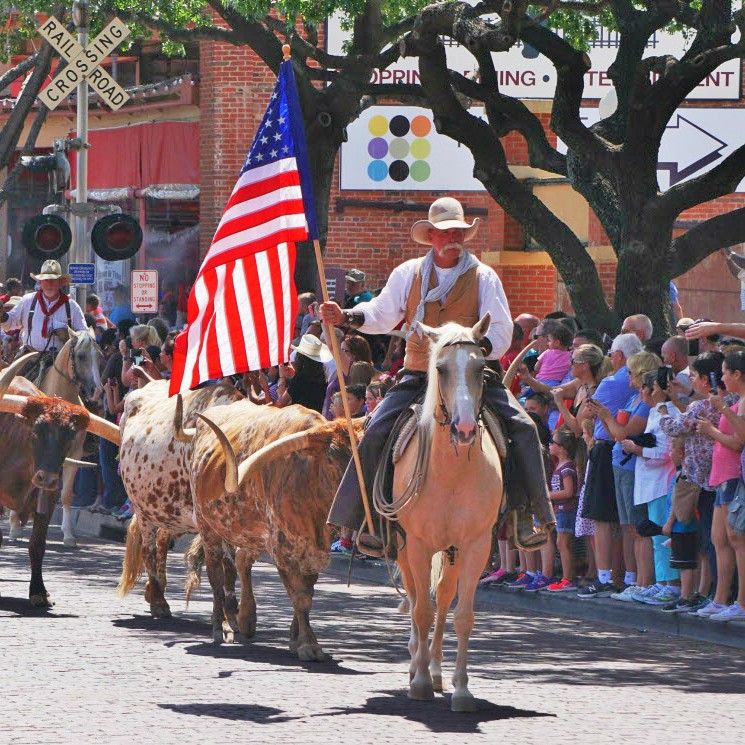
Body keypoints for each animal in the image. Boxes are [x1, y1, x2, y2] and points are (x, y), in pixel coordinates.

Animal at [5, 332, 102, 548]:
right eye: (81, 356)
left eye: (99, 355)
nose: (98, 390)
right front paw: (17, 525)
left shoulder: (74, 454)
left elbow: (65, 494)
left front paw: (69, 535)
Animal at [386, 310, 502, 712]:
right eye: (441, 368)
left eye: (481, 368)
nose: (464, 429)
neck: (452, 472)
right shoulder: (418, 544)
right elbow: (420, 609)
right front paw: (419, 682)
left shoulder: (476, 545)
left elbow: (461, 615)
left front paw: (462, 689)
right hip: (405, 548)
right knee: (416, 597)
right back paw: (416, 664)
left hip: (451, 552)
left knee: (442, 597)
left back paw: (435, 669)